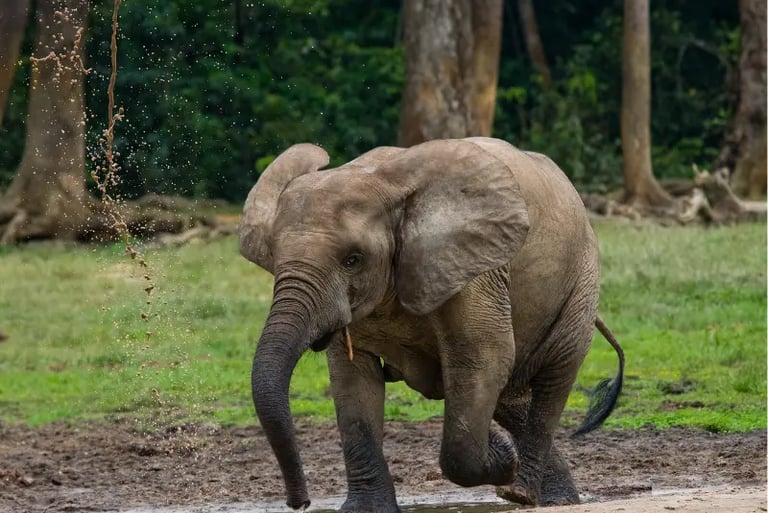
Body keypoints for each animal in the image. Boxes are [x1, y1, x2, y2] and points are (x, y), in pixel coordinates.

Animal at [238, 137, 625, 512]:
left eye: (353, 259)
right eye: (274, 256)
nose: (299, 503)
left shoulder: (474, 266)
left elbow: (483, 356)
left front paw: (501, 455)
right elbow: (352, 382)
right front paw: (364, 510)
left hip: (581, 280)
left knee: (551, 380)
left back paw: (523, 493)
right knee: (507, 394)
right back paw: (555, 497)